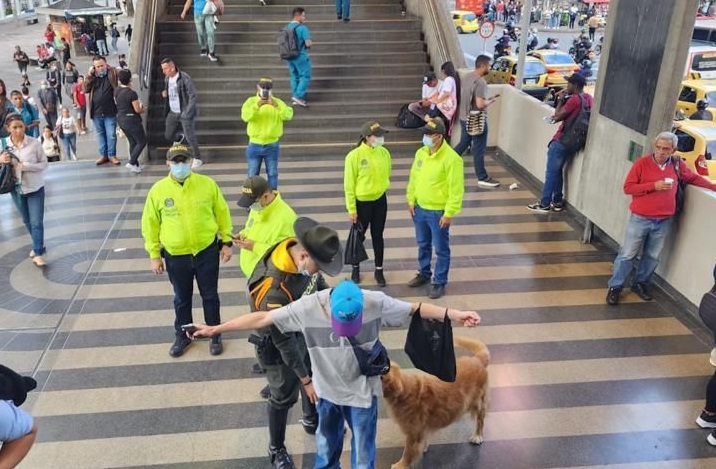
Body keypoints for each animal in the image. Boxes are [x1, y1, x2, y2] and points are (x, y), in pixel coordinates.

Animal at [384, 336, 490, 468]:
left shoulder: (413, 433)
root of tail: (477, 359)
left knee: (480, 420)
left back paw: (477, 436)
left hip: (479, 402)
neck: (404, 391)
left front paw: (401, 465)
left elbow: (408, 452)